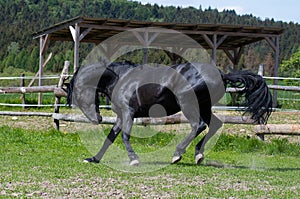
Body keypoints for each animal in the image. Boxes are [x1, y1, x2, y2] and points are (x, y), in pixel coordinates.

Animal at [67, 59, 272, 166]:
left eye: (77, 94)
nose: (97, 118)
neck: (120, 79)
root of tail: (221, 74)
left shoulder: (128, 113)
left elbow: (124, 136)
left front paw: (134, 160)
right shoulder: (120, 116)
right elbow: (110, 137)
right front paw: (93, 158)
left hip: (188, 104)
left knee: (198, 125)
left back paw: (177, 154)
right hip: (204, 106)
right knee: (214, 125)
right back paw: (198, 155)